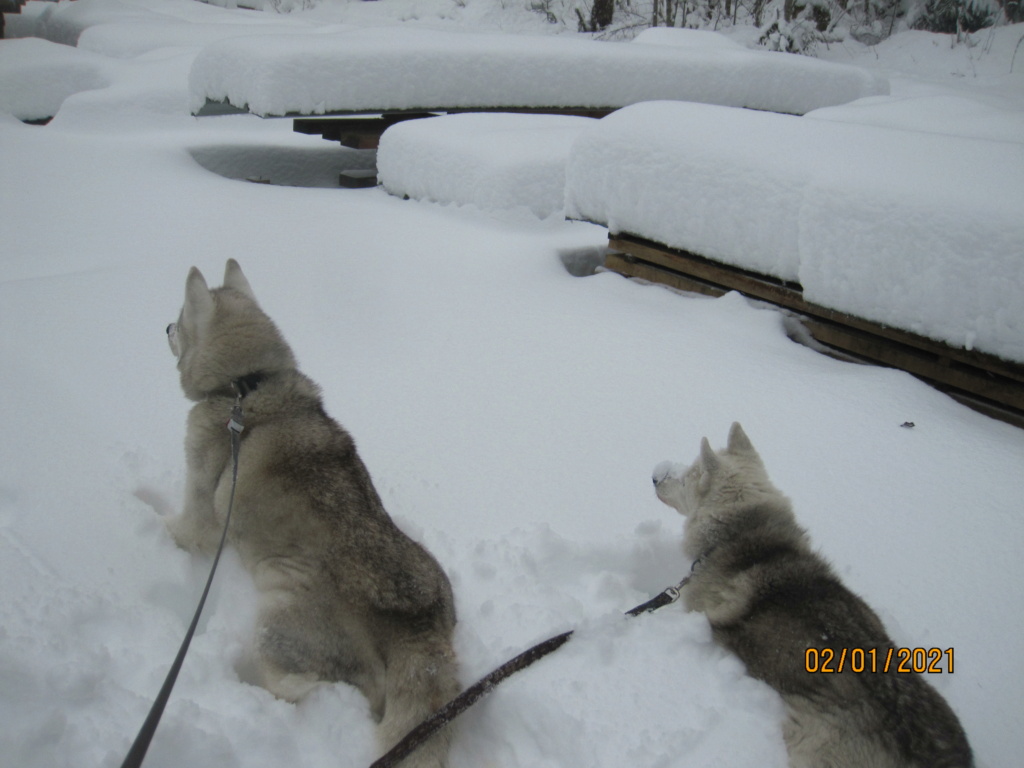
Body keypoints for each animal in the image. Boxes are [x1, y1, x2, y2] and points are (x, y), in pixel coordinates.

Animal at [164, 262, 460, 765]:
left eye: (180, 319)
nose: (162, 326)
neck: (246, 386)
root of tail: (420, 625)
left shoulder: (202, 498)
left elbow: (184, 530)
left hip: (280, 616)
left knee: (310, 685)